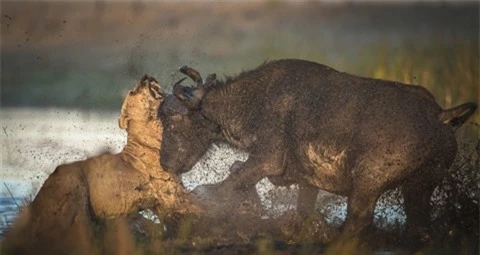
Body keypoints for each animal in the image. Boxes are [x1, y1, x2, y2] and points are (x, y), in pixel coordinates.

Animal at [158, 58, 476, 240]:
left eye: (171, 121)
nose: (165, 163)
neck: (254, 100)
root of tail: (438, 115)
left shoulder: (267, 159)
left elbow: (232, 179)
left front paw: (205, 196)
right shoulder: (306, 181)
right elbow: (301, 208)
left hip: (368, 184)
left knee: (358, 221)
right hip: (420, 186)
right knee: (419, 226)